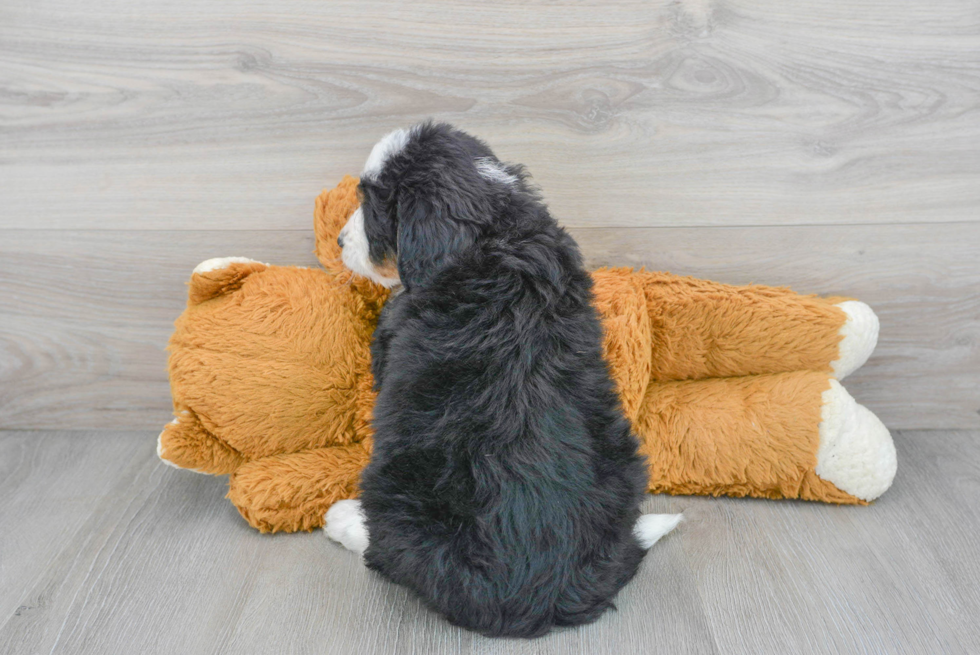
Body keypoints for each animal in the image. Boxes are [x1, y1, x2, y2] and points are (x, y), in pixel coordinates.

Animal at [326, 120, 676, 640]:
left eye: (370, 206)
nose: (337, 242)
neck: (488, 231)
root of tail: (544, 596)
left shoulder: (393, 332)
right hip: (626, 457)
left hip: (394, 490)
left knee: (392, 553)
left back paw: (345, 520)